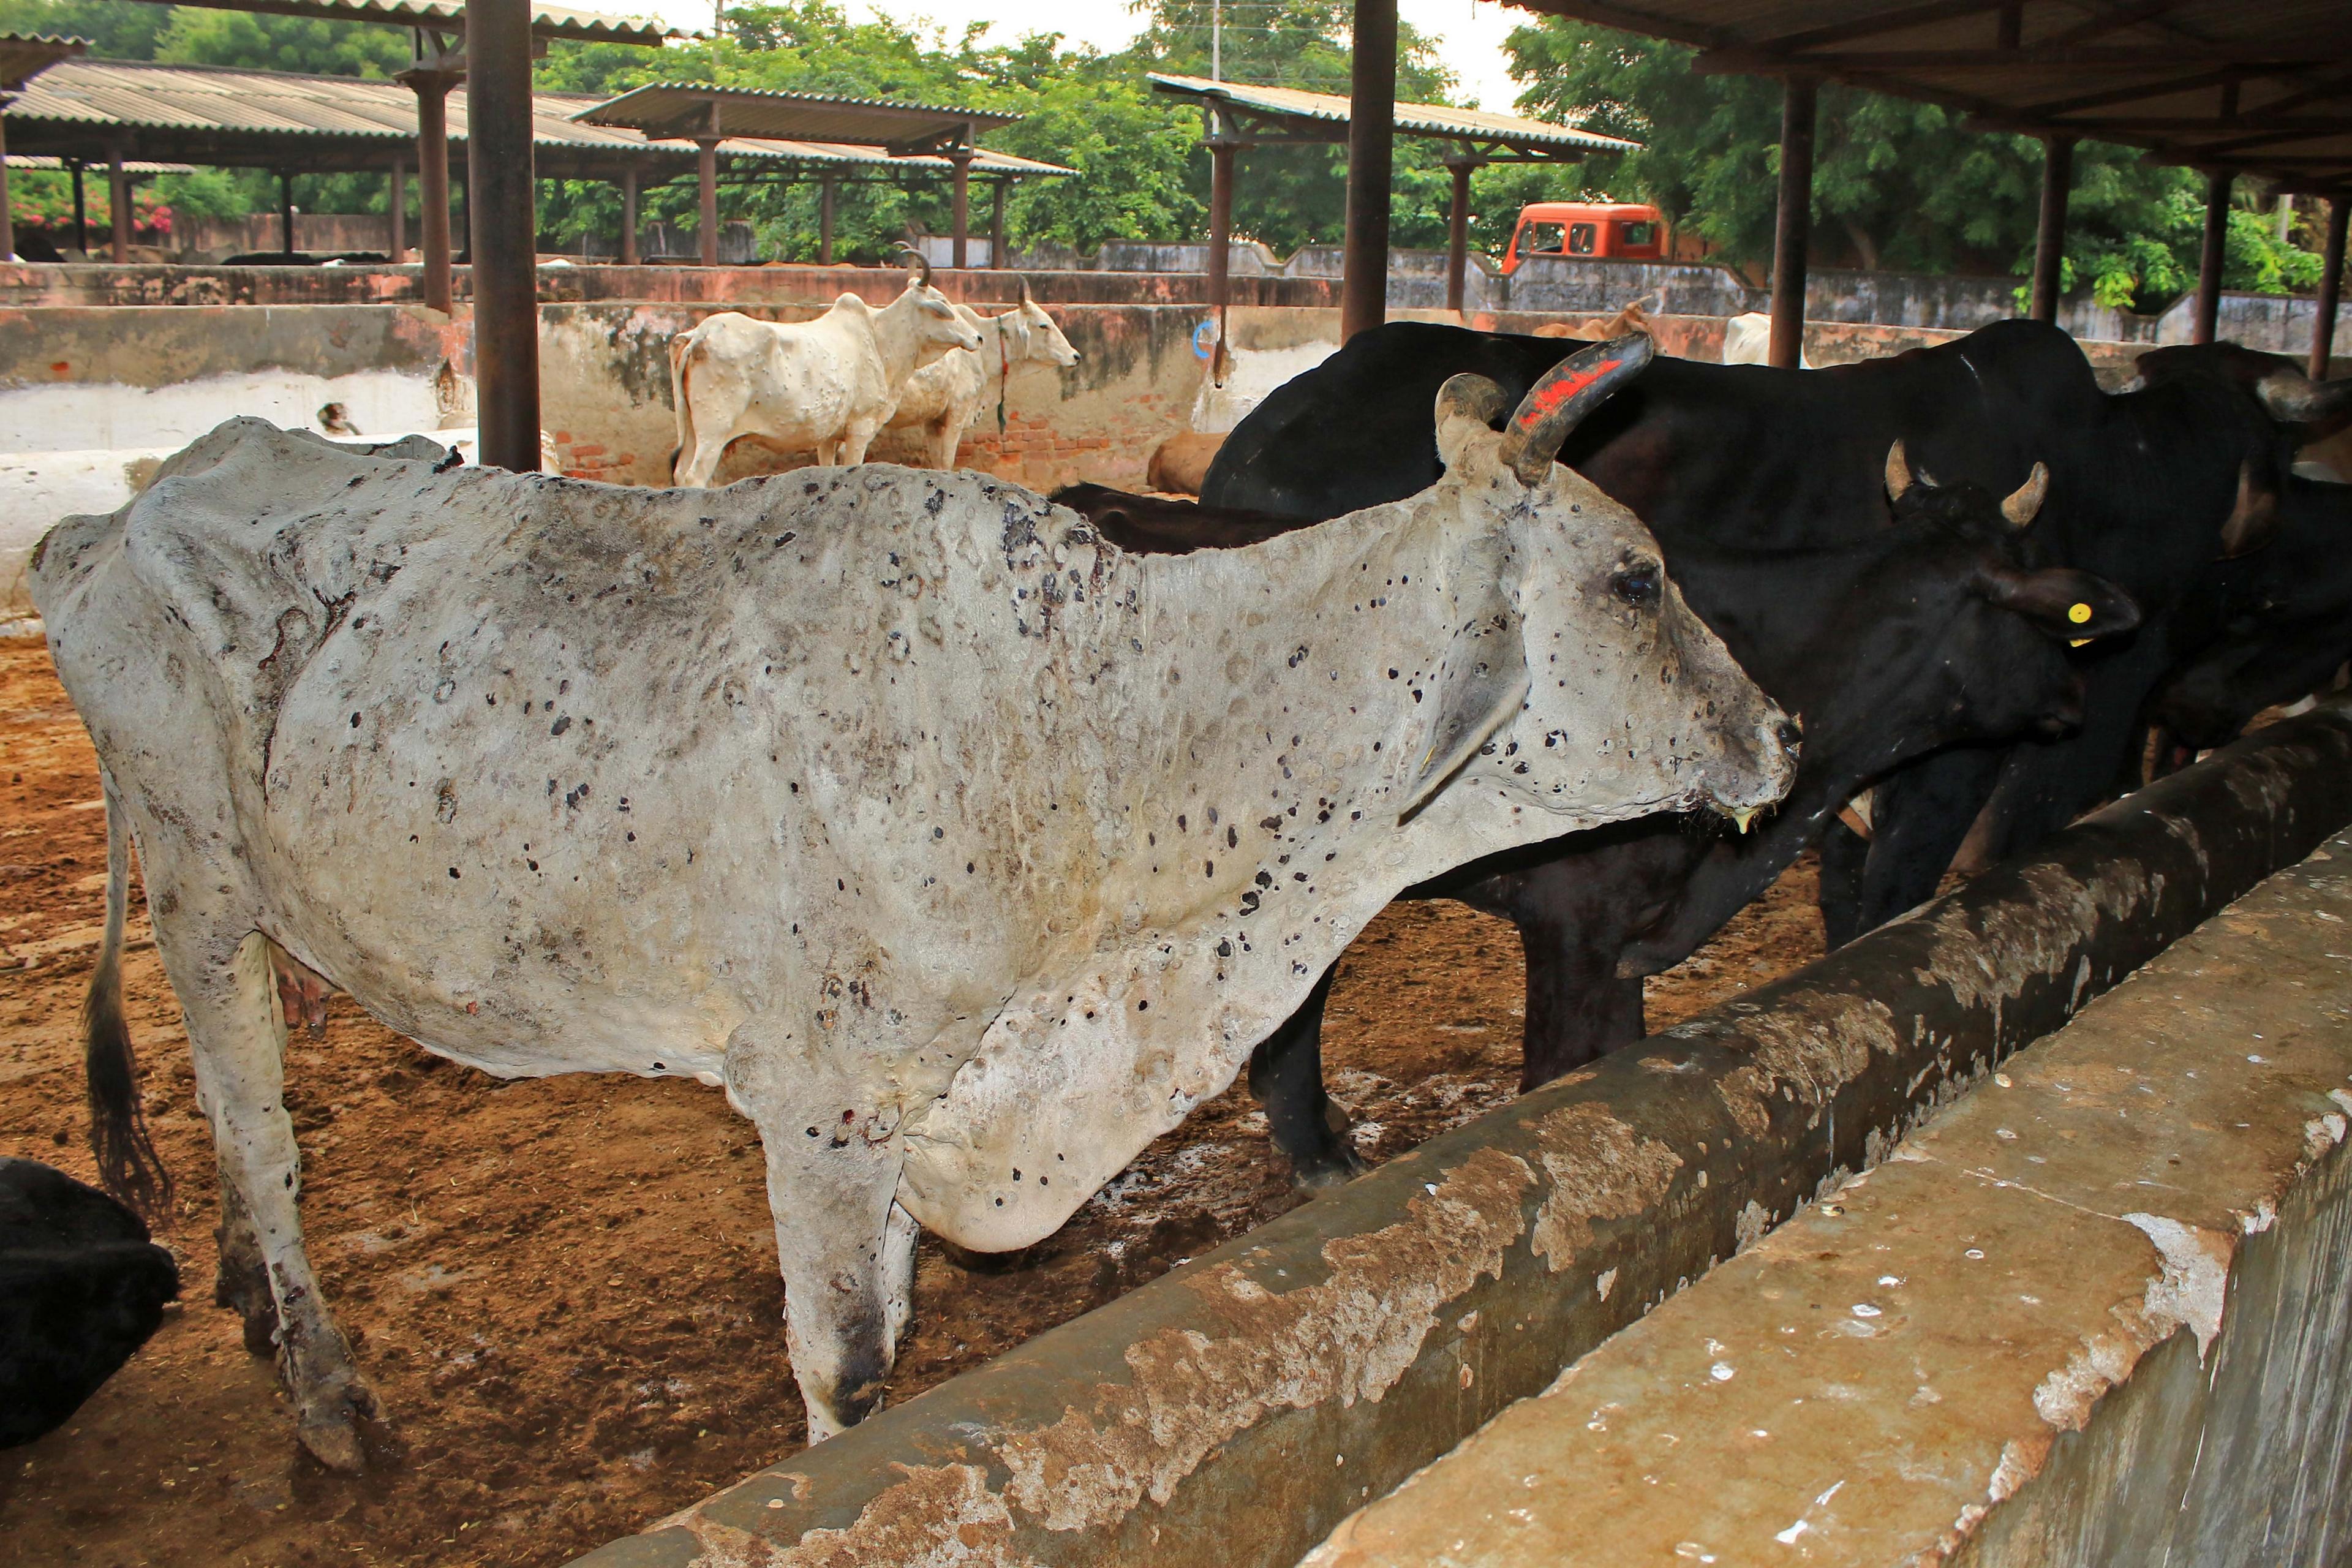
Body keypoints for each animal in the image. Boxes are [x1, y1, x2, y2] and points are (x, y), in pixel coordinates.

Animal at [32, 343, 1796, 1476]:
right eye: (1637, 578)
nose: (1783, 734)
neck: (1090, 728)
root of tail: (123, 512)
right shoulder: (818, 1097)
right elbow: (853, 1367)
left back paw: (249, 1304)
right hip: (198, 880)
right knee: (258, 1128)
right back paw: (326, 1397)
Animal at [668, 251, 978, 486]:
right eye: (942, 305)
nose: (978, 337)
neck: (879, 340)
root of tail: (699, 335)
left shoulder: (828, 436)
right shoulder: (860, 427)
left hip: (692, 429)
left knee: (681, 473)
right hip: (714, 430)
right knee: (695, 476)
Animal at [884, 278, 1082, 470]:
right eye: (1043, 325)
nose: (1076, 356)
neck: (983, 353)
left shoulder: (934, 419)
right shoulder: (957, 412)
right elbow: (947, 462)